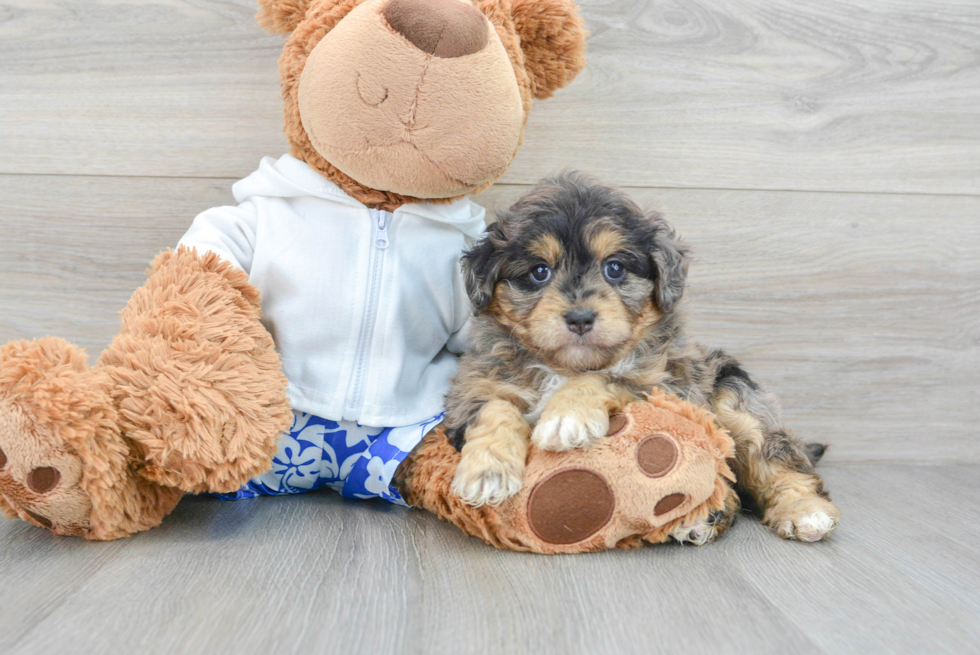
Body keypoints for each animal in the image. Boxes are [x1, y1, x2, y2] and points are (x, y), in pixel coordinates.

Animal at [448, 173, 840, 544]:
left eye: (615, 268)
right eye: (539, 271)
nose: (579, 318)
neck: (565, 366)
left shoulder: (667, 386)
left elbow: (604, 377)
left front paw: (566, 417)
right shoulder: (471, 392)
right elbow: (494, 407)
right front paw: (486, 471)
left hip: (737, 399)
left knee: (777, 461)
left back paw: (802, 511)